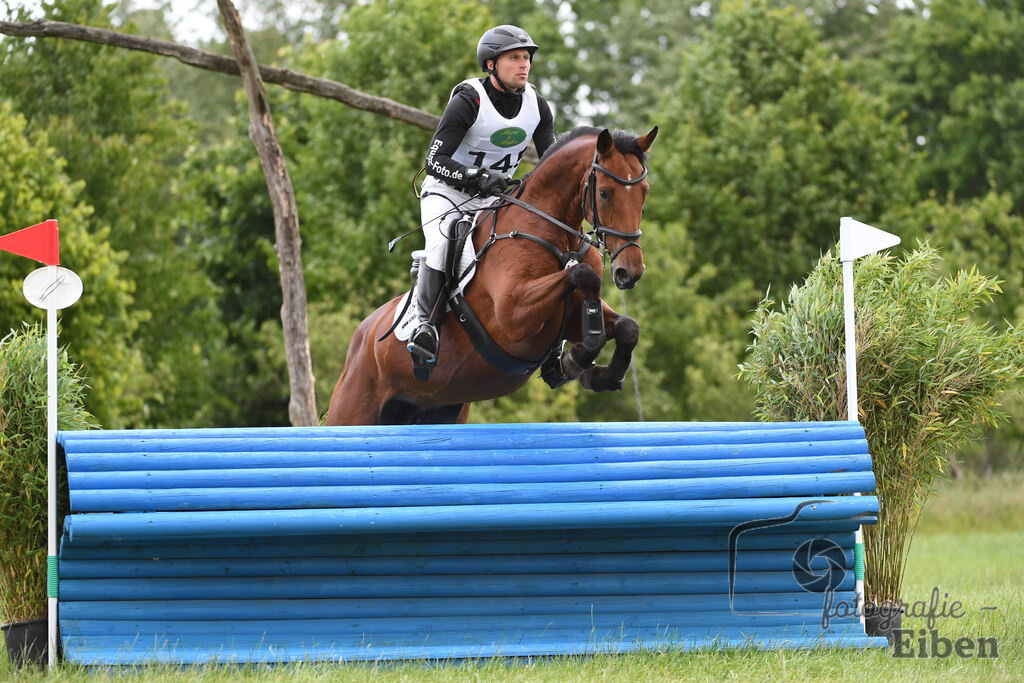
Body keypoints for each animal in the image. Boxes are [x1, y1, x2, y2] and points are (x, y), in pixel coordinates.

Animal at [325, 125, 658, 426]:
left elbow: (628, 327)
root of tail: (362, 337)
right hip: (352, 412)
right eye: (604, 193)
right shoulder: (514, 315)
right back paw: (423, 337)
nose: (629, 272)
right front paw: (576, 358)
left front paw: (600, 373)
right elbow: (585, 275)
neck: (556, 234)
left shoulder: (570, 314)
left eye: (644, 193)